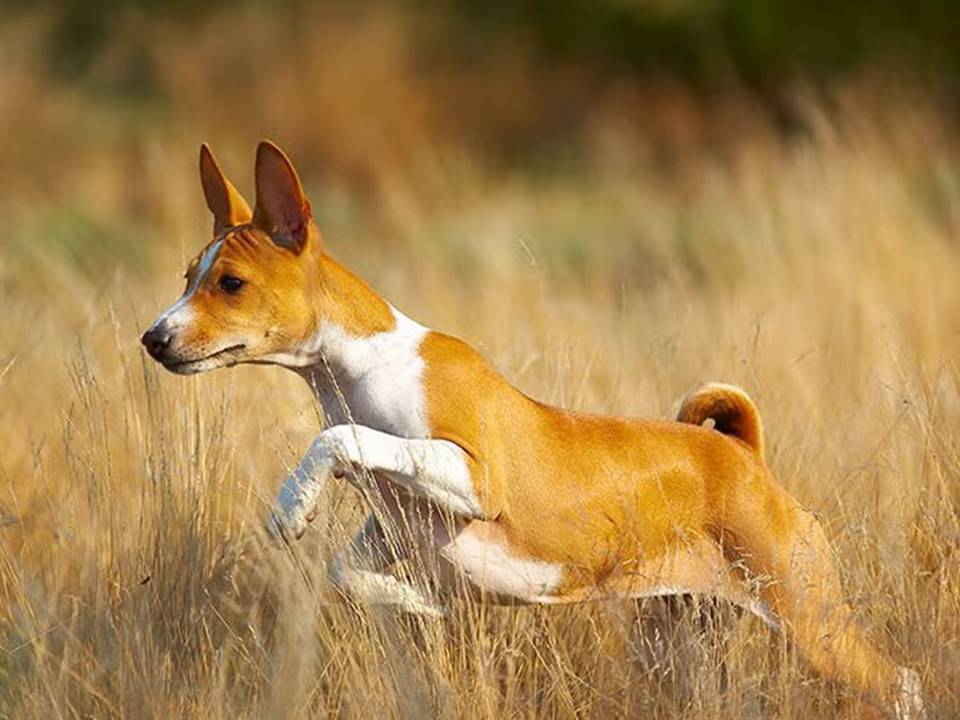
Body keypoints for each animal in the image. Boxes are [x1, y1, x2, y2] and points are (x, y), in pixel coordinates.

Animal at [141, 142, 924, 720]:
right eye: (186, 278)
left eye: (231, 284)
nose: (153, 338)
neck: (358, 372)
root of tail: (742, 454)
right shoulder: (393, 534)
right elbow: (351, 571)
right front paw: (421, 603)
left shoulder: (473, 475)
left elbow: (341, 443)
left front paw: (292, 503)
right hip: (677, 642)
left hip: (811, 619)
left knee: (904, 685)